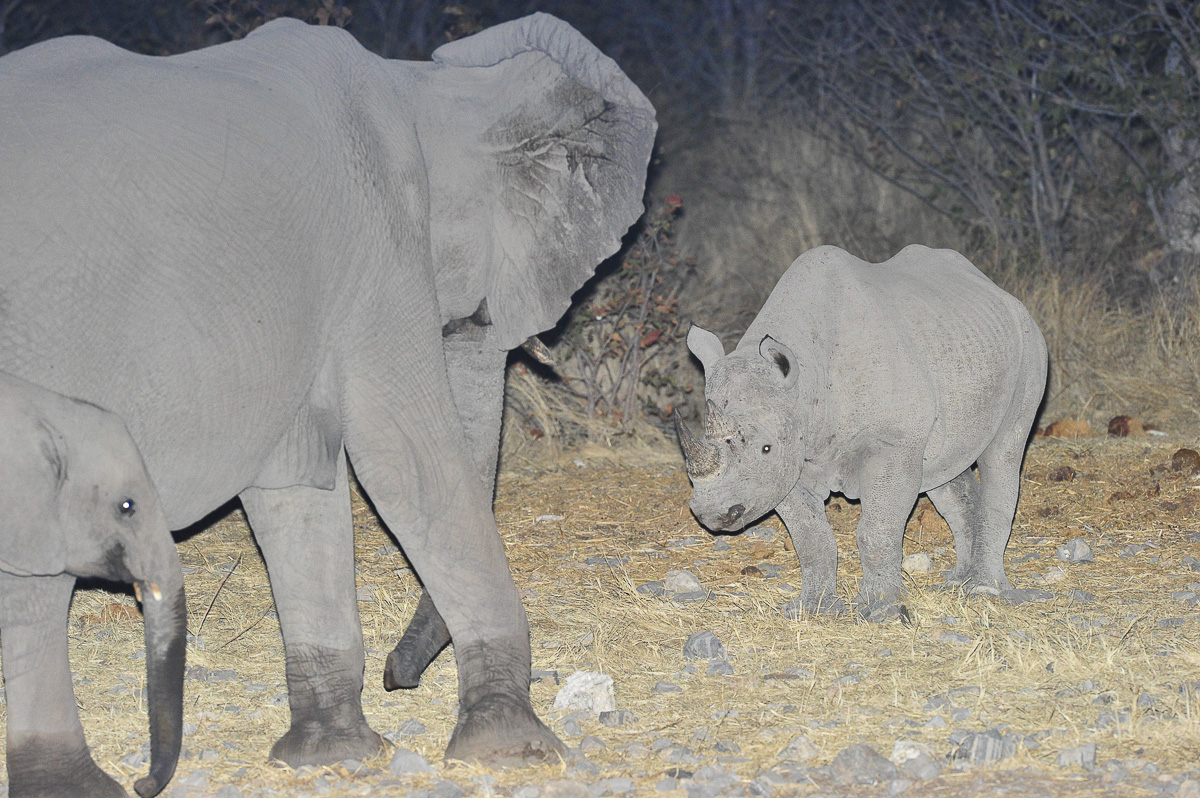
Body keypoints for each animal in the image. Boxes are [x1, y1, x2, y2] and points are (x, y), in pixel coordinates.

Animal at [675, 245, 1047, 618]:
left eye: (765, 448)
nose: (712, 514)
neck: (805, 381)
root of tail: (1001, 293)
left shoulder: (890, 443)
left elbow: (876, 529)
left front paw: (880, 607)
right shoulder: (789, 459)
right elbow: (810, 538)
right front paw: (812, 608)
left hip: (1030, 344)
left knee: (1003, 454)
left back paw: (985, 589)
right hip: (960, 346)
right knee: (944, 471)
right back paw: (958, 582)